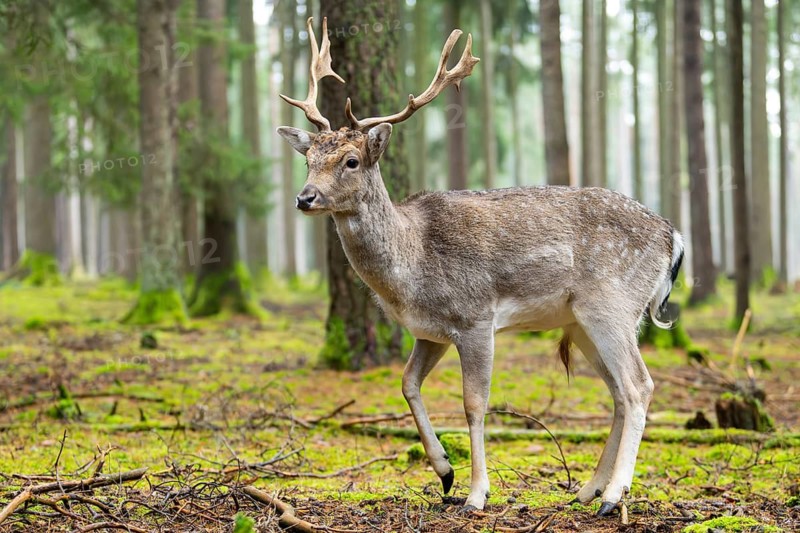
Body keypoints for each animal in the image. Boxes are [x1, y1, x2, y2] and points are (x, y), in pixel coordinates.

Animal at [277, 18, 684, 516]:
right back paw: (588, 490)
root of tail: (671, 235)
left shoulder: (475, 317)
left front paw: (476, 494)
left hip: (613, 304)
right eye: (309, 158)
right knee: (618, 392)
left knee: (638, 385)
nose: (304, 197)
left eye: (351, 161)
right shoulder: (429, 330)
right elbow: (407, 383)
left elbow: (474, 403)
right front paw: (444, 471)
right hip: (585, 321)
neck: (410, 270)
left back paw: (612, 495)